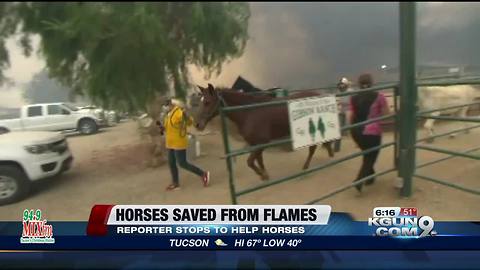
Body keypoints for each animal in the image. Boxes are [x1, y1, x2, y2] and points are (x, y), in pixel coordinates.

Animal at [193, 84, 332, 181]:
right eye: (200, 102)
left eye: (207, 102)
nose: (197, 124)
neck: (248, 112)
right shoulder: (255, 144)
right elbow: (259, 161)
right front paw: (265, 176)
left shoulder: (262, 142)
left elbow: (250, 162)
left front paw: (262, 175)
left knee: (313, 147)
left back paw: (306, 168)